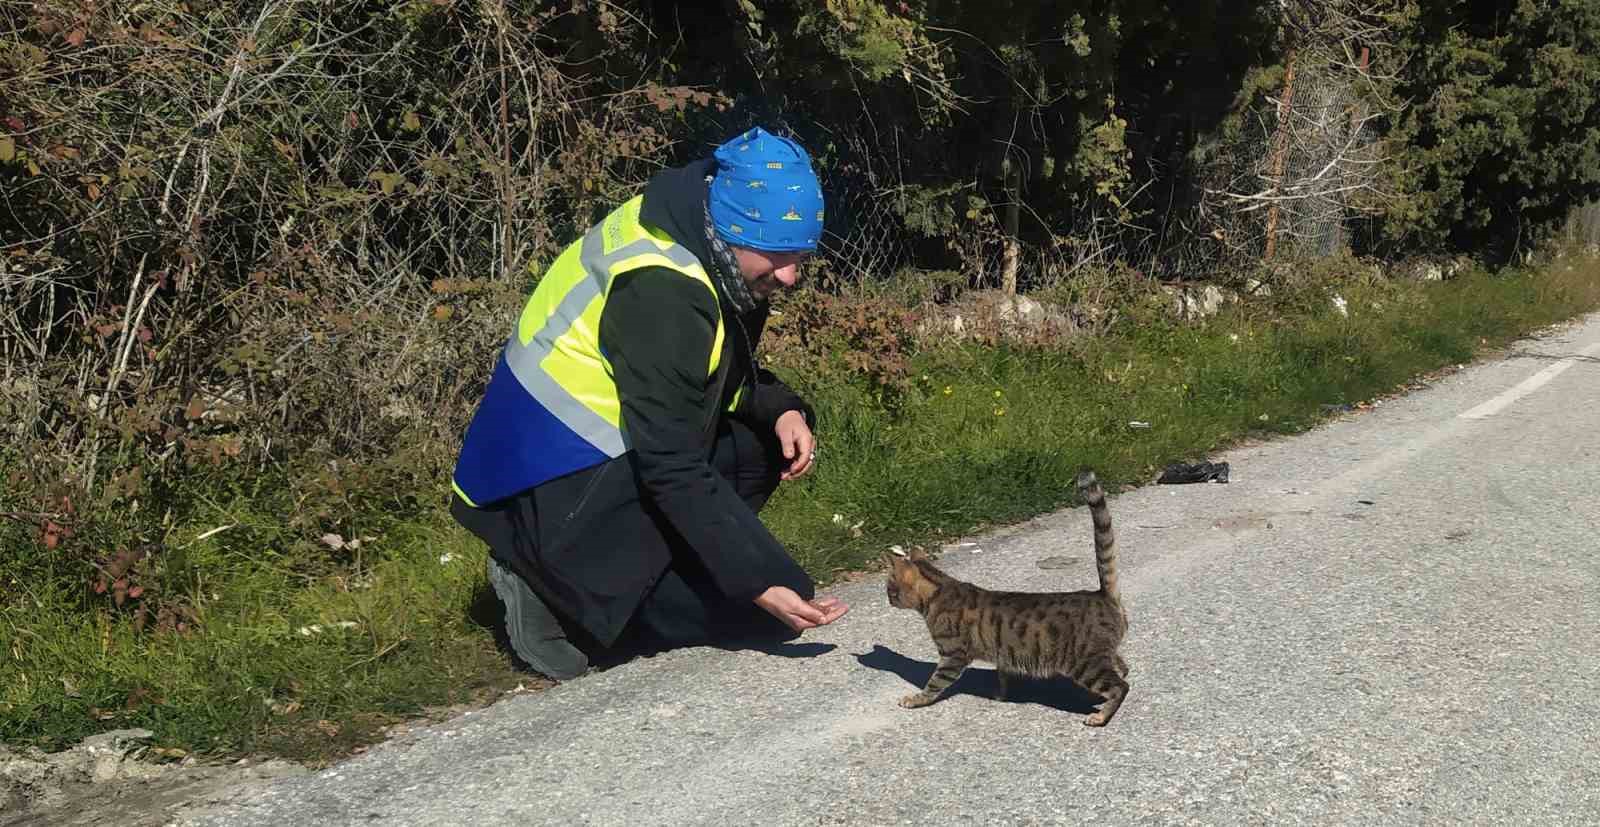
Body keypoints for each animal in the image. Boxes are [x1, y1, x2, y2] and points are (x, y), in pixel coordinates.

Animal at [883, 467, 1132, 726]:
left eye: (889, 586)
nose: (888, 598)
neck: (938, 590)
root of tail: (1102, 595)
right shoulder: (1003, 653)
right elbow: (1002, 676)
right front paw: (1000, 695)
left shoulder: (953, 655)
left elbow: (934, 684)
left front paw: (915, 699)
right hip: (1099, 656)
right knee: (1123, 668)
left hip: (1085, 663)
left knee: (1121, 686)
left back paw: (1100, 716)